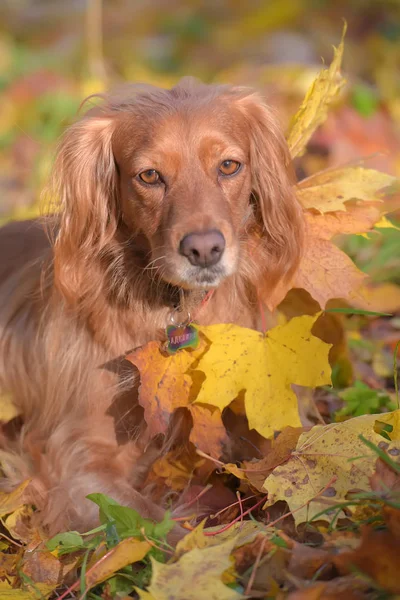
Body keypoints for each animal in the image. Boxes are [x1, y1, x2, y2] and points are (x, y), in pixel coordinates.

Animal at [0, 78, 304, 536]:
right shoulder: (76, 458)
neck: (172, 312)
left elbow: (290, 457)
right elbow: (159, 529)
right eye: (149, 175)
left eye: (228, 166)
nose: (204, 249)